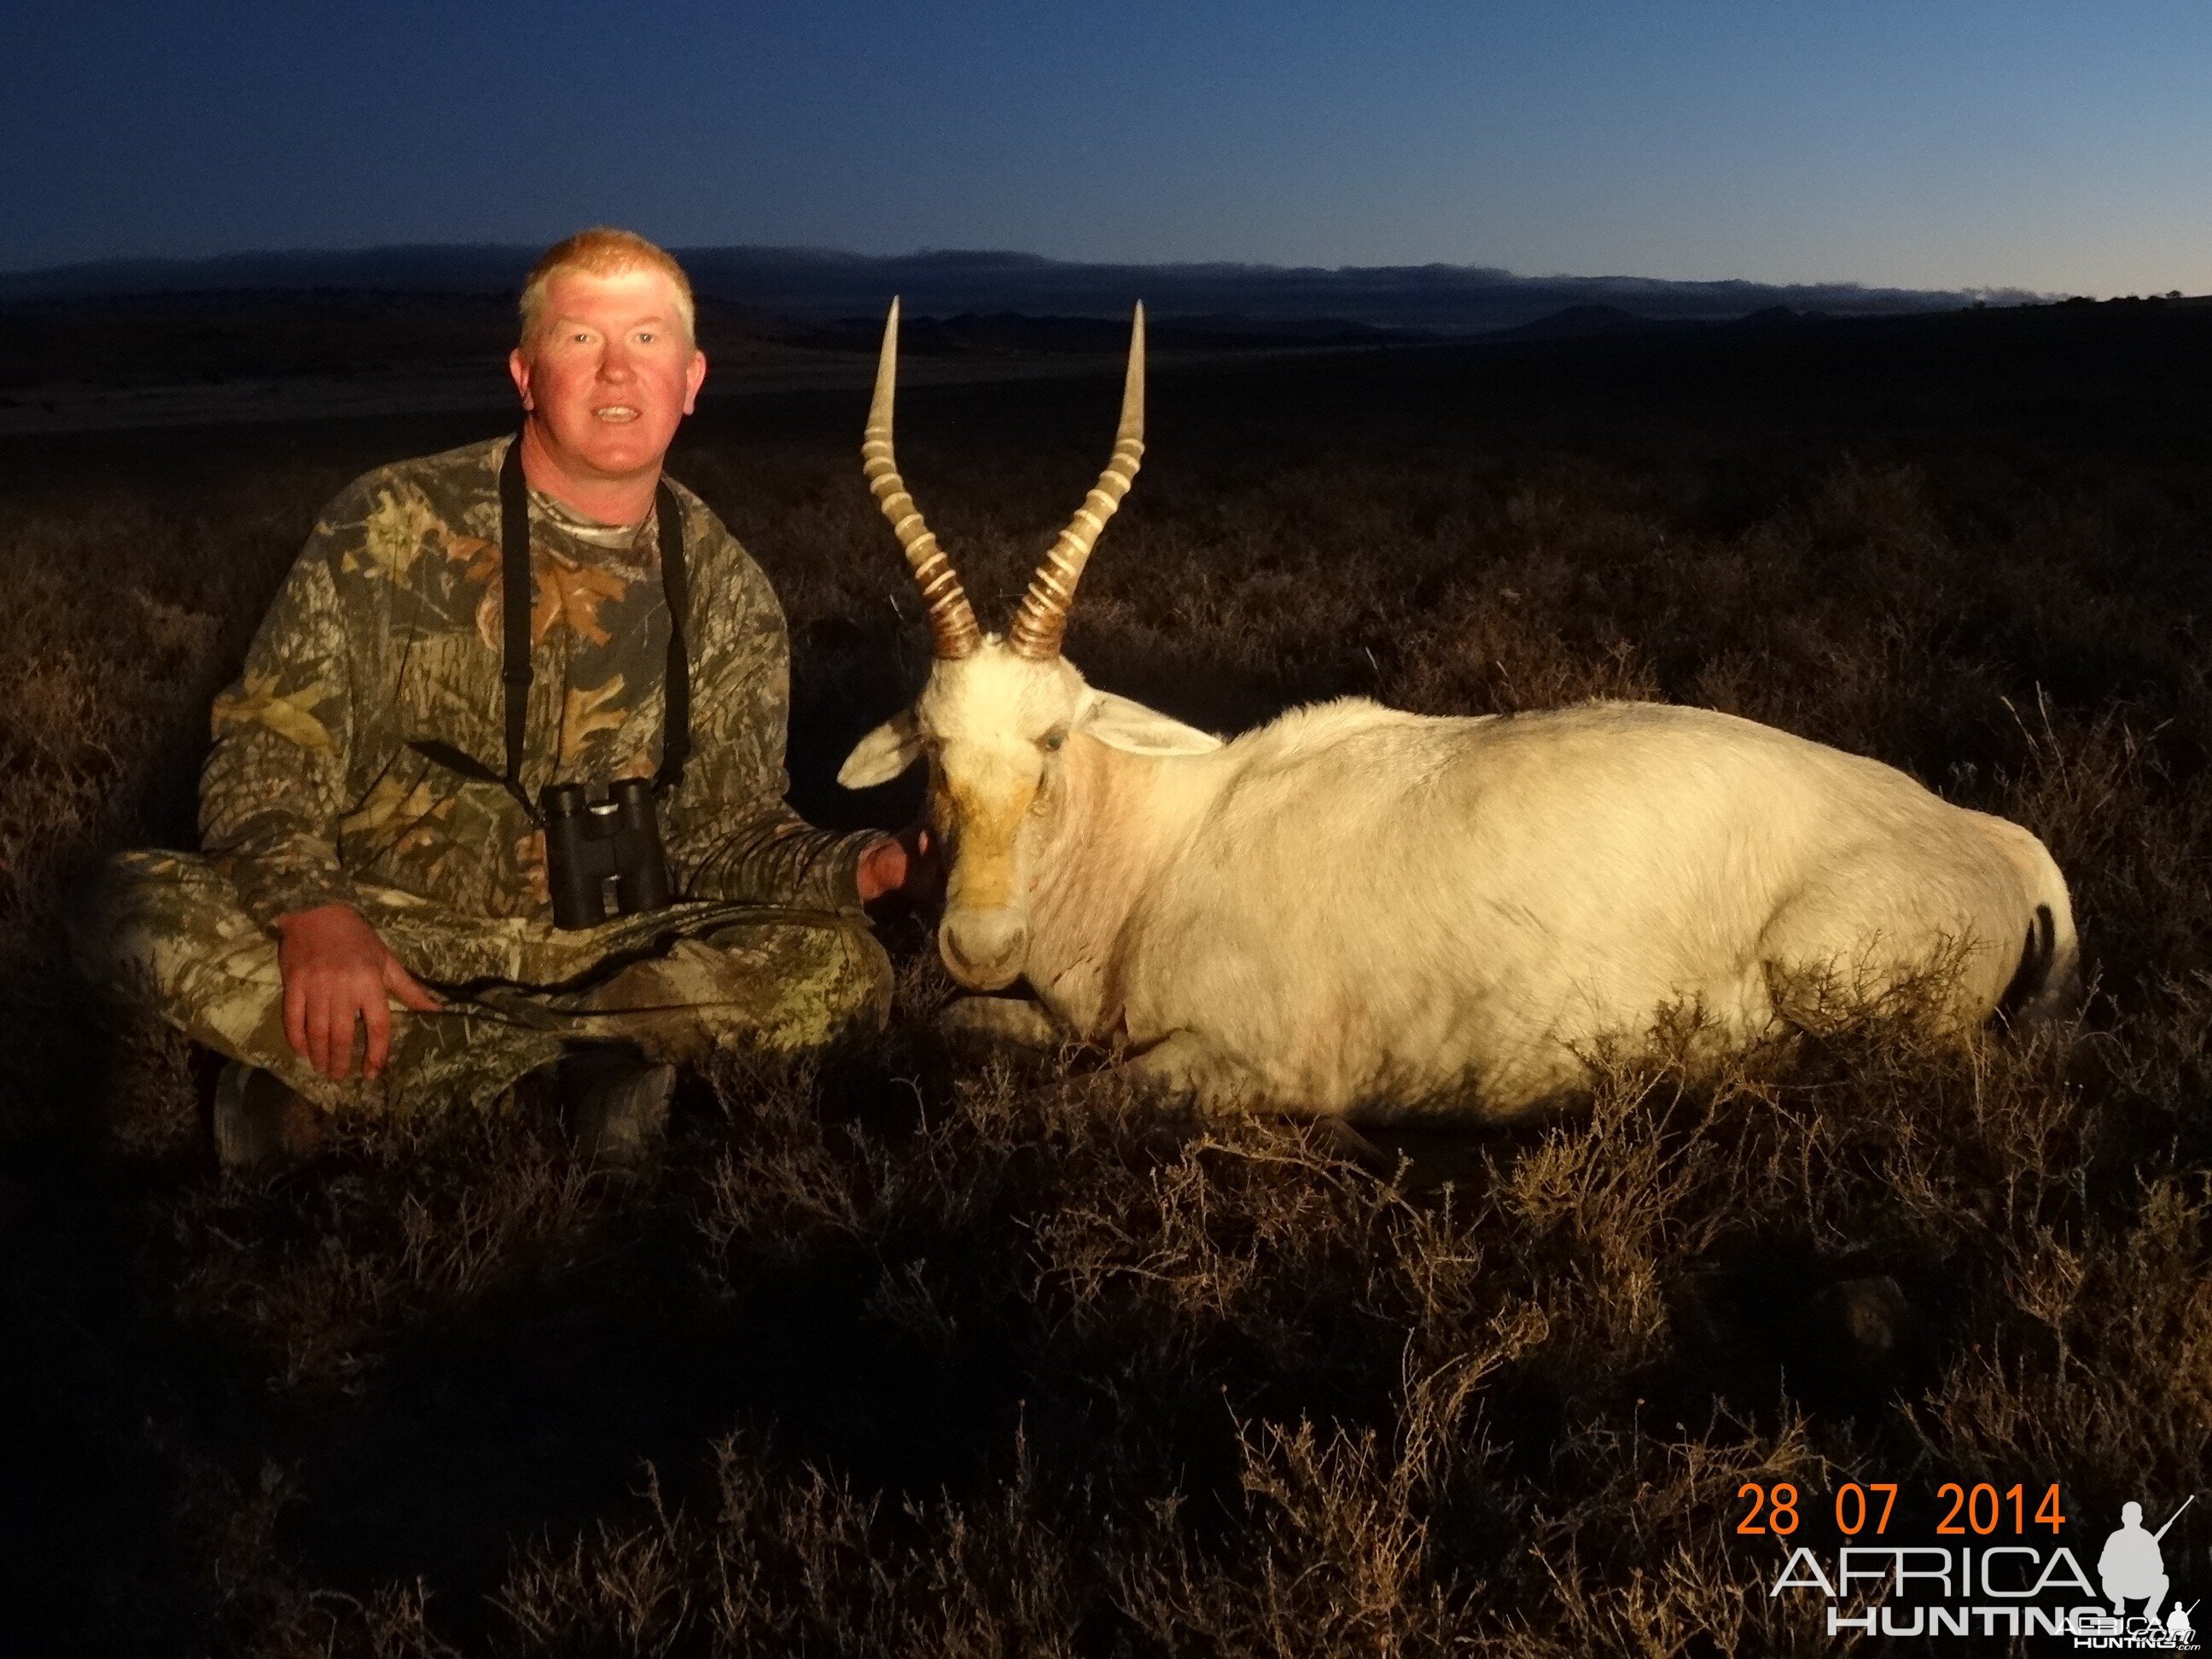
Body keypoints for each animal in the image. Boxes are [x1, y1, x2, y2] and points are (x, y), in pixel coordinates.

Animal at [835, 303, 2079, 1132]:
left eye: (1051, 741)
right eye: (933, 748)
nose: (979, 943)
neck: (1172, 842)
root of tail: (1994, 846)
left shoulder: (1249, 1071)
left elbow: (1085, 1097)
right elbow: (957, 1030)